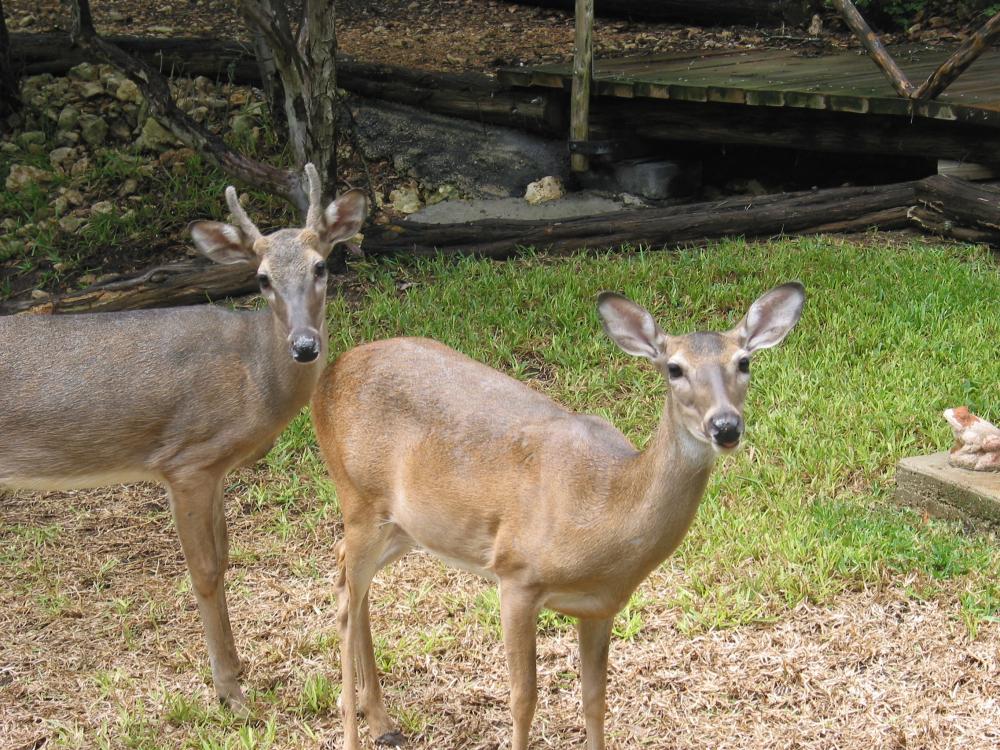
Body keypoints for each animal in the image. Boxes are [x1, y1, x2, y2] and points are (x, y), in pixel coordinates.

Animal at [0, 166, 368, 716]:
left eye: (321, 265)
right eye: (262, 278)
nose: (305, 345)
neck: (255, 376)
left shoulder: (214, 469)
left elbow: (226, 555)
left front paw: (238, 670)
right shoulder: (185, 460)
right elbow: (206, 570)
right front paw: (230, 692)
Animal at [312, 284, 804, 750]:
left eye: (743, 362)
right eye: (674, 368)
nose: (726, 426)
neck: (604, 508)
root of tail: (330, 375)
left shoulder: (601, 606)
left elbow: (595, 698)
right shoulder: (516, 575)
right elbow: (523, 698)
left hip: (403, 525)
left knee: (347, 573)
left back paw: (382, 722)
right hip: (358, 495)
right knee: (346, 596)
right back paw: (355, 723)